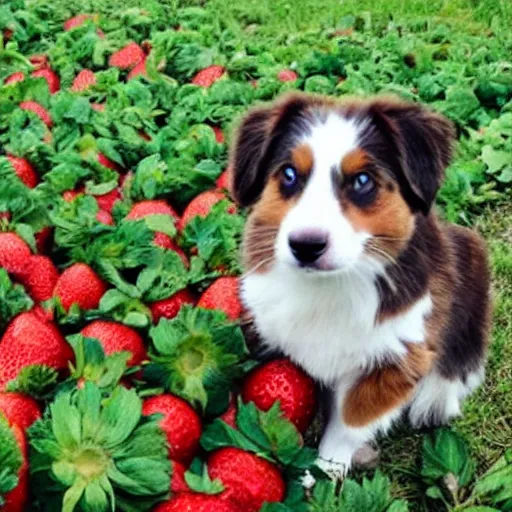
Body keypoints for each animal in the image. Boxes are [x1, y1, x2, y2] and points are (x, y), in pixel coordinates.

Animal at [228, 93, 492, 476]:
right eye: (289, 174)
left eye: (363, 180)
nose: (305, 246)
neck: (329, 285)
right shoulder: (266, 318)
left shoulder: (396, 358)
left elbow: (349, 422)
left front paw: (324, 473)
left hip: (471, 256)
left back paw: (436, 398)